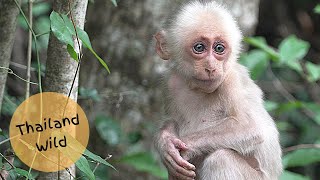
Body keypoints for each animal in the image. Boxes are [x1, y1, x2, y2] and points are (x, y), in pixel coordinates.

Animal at [154, 1, 282, 180]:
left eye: (219, 48)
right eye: (199, 47)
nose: (211, 67)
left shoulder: (231, 80)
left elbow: (250, 127)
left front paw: (184, 148)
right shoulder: (170, 82)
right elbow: (171, 121)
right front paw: (165, 143)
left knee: (221, 159)